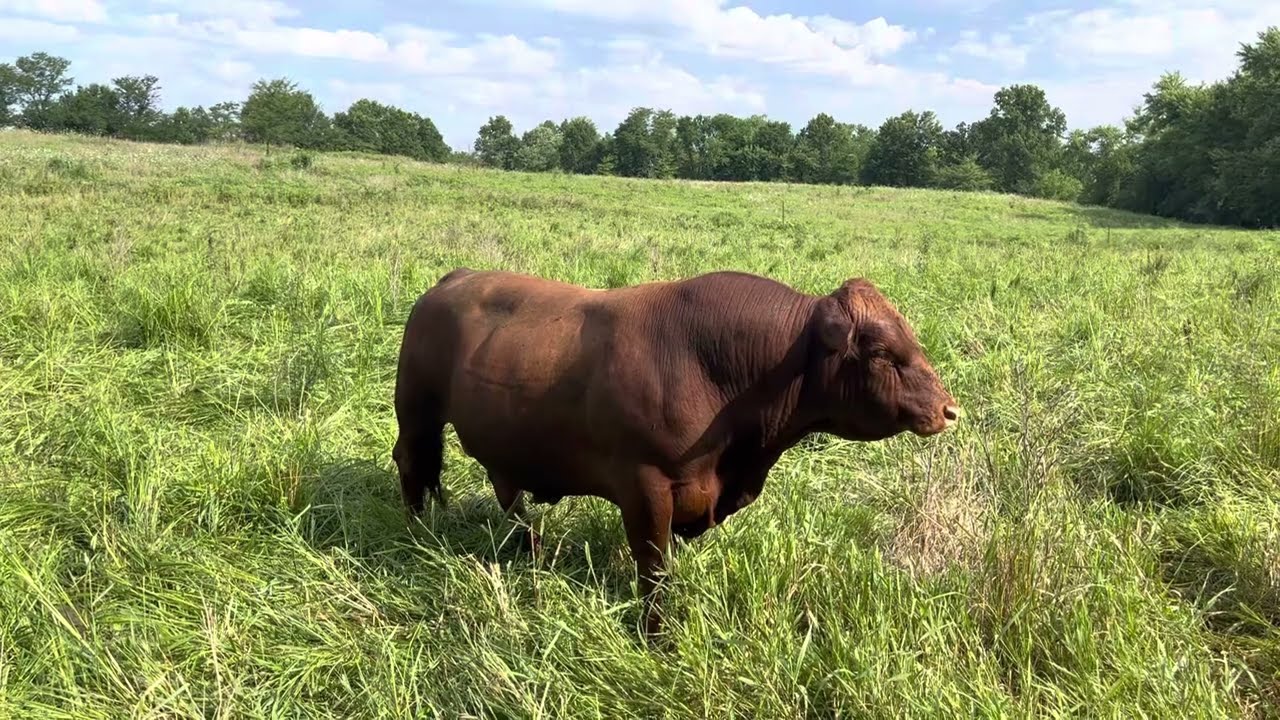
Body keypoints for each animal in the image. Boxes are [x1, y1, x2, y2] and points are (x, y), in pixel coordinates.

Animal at [392, 268, 960, 637]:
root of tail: (452, 279)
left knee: (506, 494)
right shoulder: (644, 485)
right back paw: (418, 534)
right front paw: (656, 634)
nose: (949, 409)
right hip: (416, 410)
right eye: (882, 352)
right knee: (412, 464)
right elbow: (654, 566)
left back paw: (529, 547)